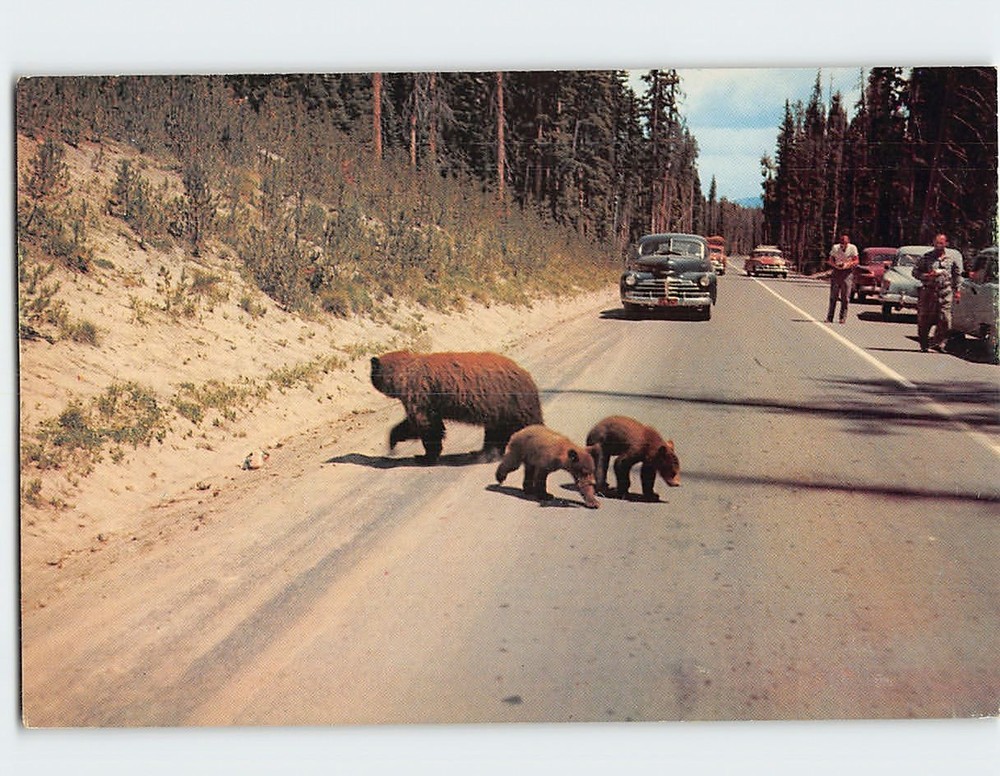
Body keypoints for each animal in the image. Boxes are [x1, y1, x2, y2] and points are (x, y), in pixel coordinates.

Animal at [370, 350, 543, 464]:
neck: (404, 372)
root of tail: (527, 376)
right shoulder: (430, 401)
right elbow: (430, 424)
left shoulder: (419, 392)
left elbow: (423, 425)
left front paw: (424, 456)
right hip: (500, 410)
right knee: (496, 432)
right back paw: (483, 453)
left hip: (509, 403)